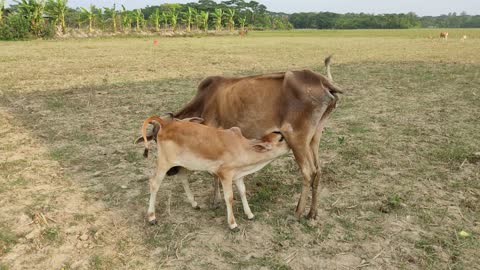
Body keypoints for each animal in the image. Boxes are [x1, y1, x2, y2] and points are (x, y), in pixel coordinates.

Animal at [139, 115, 288, 229]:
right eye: (281, 138)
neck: (243, 148)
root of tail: (165, 124)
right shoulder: (225, 174)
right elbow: (229, 197)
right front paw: (233, 224)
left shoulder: (238, 176)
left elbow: (243, 192)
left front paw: (250, 214)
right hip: (164, 163)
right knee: (154, 183)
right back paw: (152, 217)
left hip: (185, 165)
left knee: (183, 178)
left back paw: (194, 204)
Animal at [171, 56, 344, 219]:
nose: (171, 171)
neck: (204, 101)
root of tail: (321, 80)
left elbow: (214, 174)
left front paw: (215, 201)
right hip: (314, 137)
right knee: (318, 170)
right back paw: (312, 213)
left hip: (296, 138)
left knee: (308, 172)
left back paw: (297, 213)